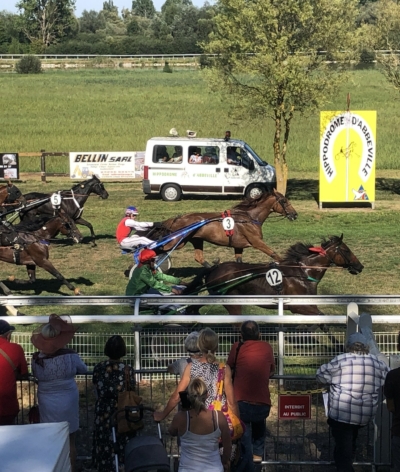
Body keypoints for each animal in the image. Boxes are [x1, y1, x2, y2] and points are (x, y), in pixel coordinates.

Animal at [155, 190, 298, 268]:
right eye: (284, 201)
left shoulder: (239, 246)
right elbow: (274, 254)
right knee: (158, 249)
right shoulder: (256, 242)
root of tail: (177, 218)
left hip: (196, 240)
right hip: (177, 242)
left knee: (199, 258)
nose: (295, 214)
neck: (249, 217)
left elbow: (239, 261)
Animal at [186, 233, 364, 316]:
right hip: (230, 300)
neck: (303, 273)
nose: (360, 266)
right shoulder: (298, 305)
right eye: (346, 250)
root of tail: (213, 268)